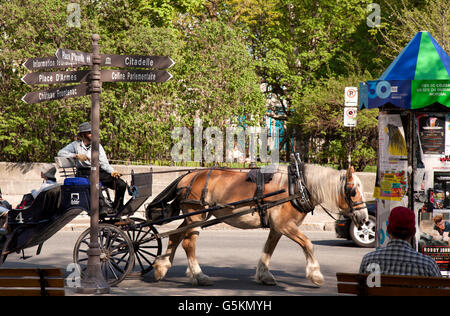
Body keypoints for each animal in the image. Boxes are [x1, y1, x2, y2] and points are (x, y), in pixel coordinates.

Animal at [151, 164, 366, 288]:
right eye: (353, 192)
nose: (364, 218)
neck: (297, 186)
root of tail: (188, 176)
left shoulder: (277, 227)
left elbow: (269, 249)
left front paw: (264, 274)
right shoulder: (285, 225)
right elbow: (308, 244)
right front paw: (316, 274)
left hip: (194, 216)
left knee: (175, 236)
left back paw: (162, 266)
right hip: (197, 216)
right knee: (188, 244)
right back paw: (198, 275)